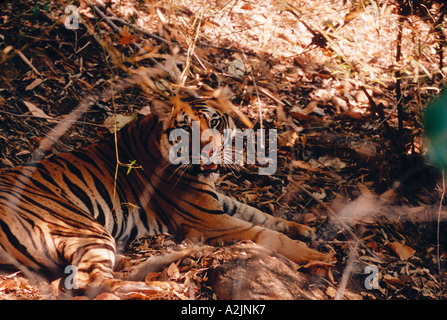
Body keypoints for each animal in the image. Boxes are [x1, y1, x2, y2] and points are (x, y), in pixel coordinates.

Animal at [0, 97, 328, 298]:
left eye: (215, 123)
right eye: (185, 127)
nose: (210, 150)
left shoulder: (218, 204)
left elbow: (261, 215)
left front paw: (305, 229)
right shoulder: (211, 221)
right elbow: (268, 235)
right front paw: (318, 255)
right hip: (83, 226)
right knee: (87, 281)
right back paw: (157, 287)